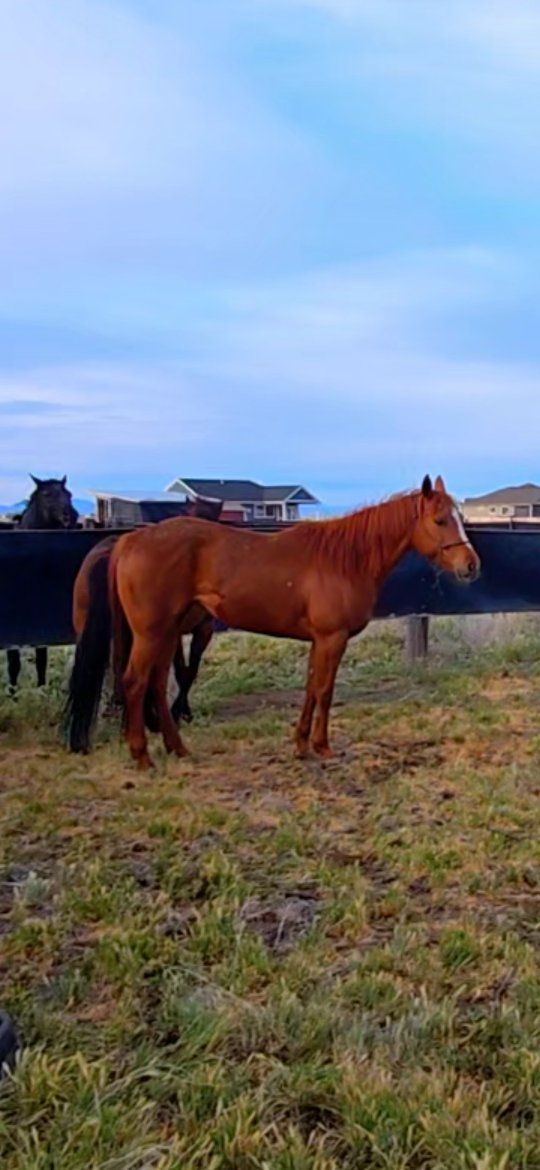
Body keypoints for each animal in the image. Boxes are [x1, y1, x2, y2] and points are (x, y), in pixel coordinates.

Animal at [7, 476, 79, 691]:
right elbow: (14, 663)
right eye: (46, 494)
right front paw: (13, 692)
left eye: (68, 494)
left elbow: (41, 660)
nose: (72, 516)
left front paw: (41, 688)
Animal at [102, 474, 480, 769]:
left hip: (169, 632)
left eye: (459, 517)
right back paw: (142, 757)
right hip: (151, 633)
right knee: (136, 682)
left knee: (155, 684)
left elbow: (312, 687)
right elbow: (325, 690)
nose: (471, 565)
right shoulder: (332, 638)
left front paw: (300, 745)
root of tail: (130, 539)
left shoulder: (318, 641)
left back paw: (178, 748)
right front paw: (322, 746)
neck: (345, 559)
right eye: (440, 520)